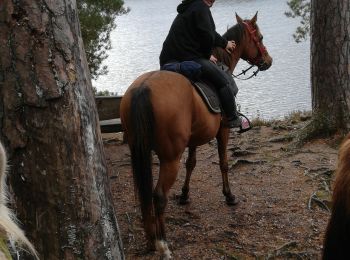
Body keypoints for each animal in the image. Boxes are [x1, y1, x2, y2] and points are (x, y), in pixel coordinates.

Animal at [120, 12, 274, 258]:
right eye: (259, 37)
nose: (268, 60)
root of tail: (143, 88)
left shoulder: (194, 137)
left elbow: (191, 164)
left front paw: (184, 195)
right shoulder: (223, 131)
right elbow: (223, 163)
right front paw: (229, 195)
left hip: (139, 150)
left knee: (144, 195)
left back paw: (150, 239)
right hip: (169, 158)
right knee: (158, 196)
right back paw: (163, 244)